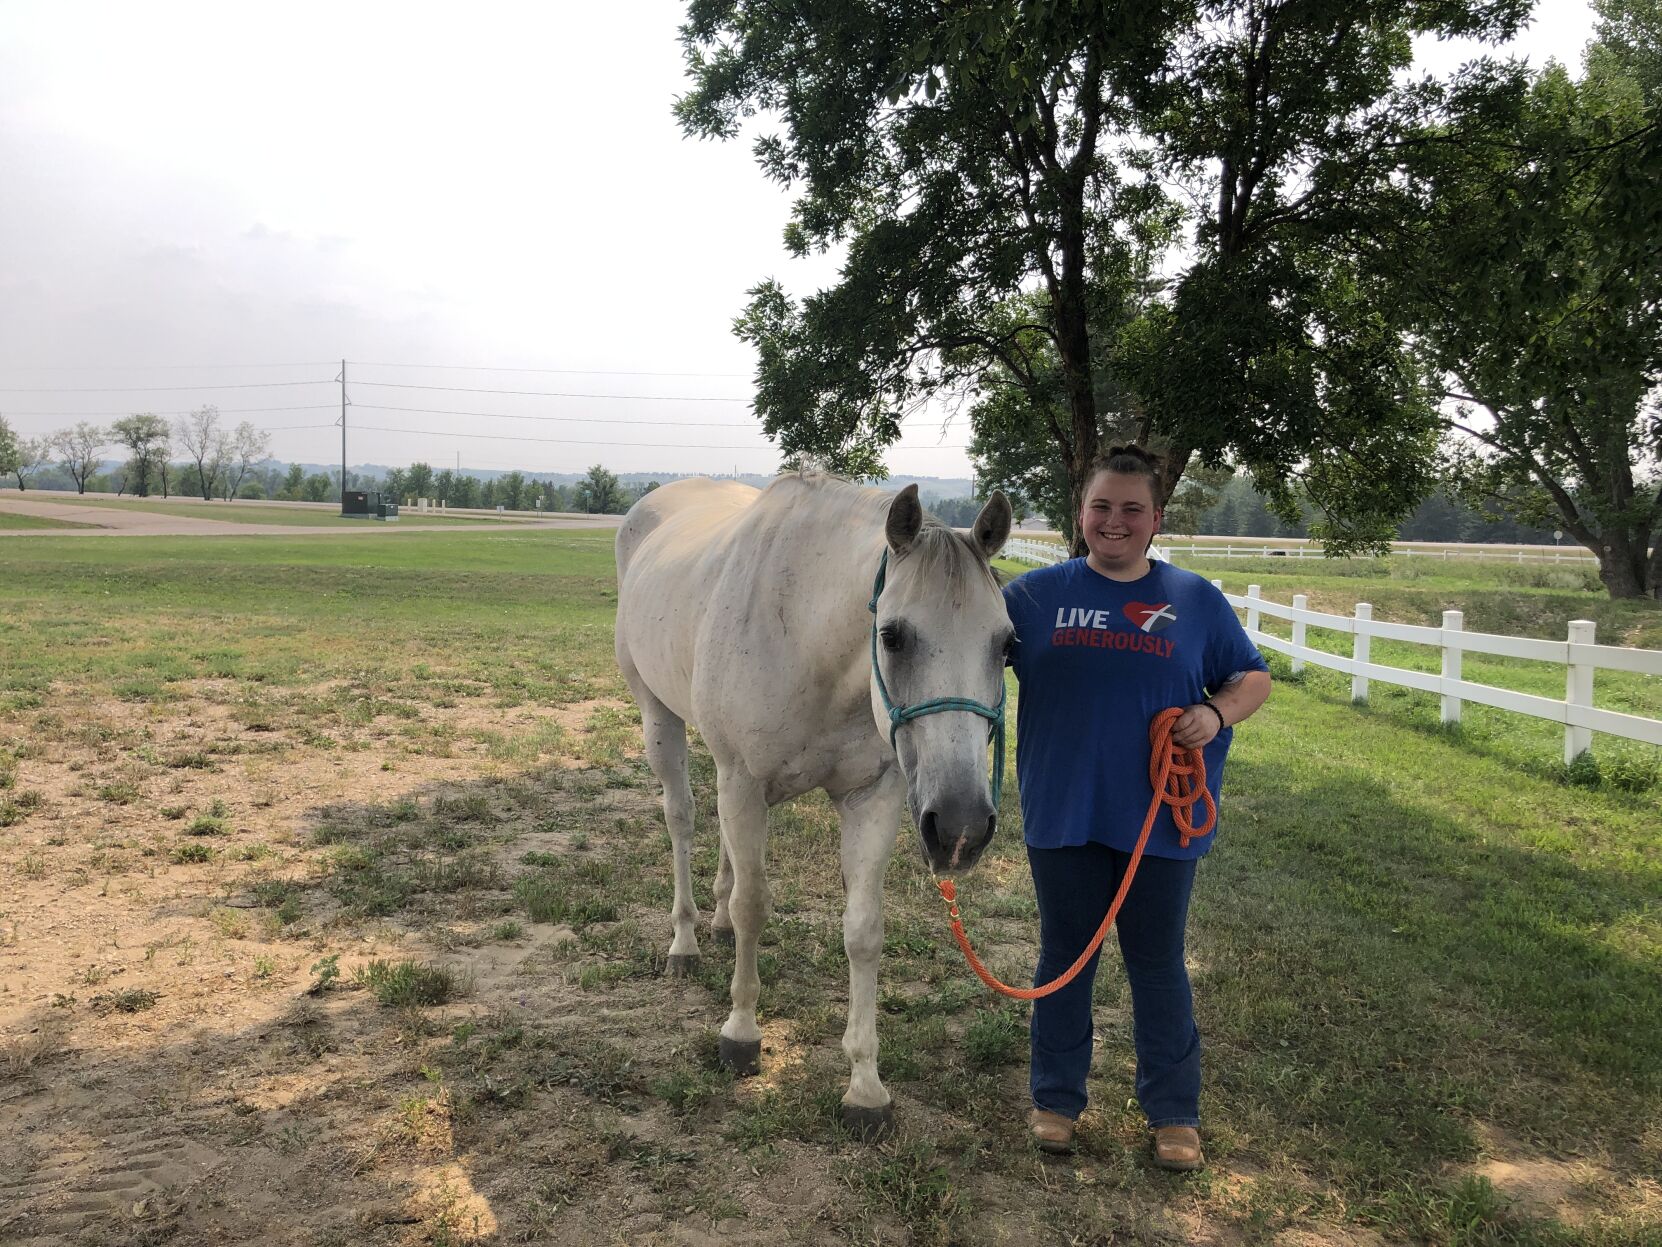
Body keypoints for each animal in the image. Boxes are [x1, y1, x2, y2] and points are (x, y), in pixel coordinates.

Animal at [614, 472, 1010, 1137]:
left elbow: (863, 931)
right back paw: (686, 942)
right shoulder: (744, 781)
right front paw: (740, 1034)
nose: (961, 826)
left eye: (1007, 643)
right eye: (892, 635)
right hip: (659, 717)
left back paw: (714, 924)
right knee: (683, 819)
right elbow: (754, 907)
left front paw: (865, 1087)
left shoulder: (873, 798)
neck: (804, 631)